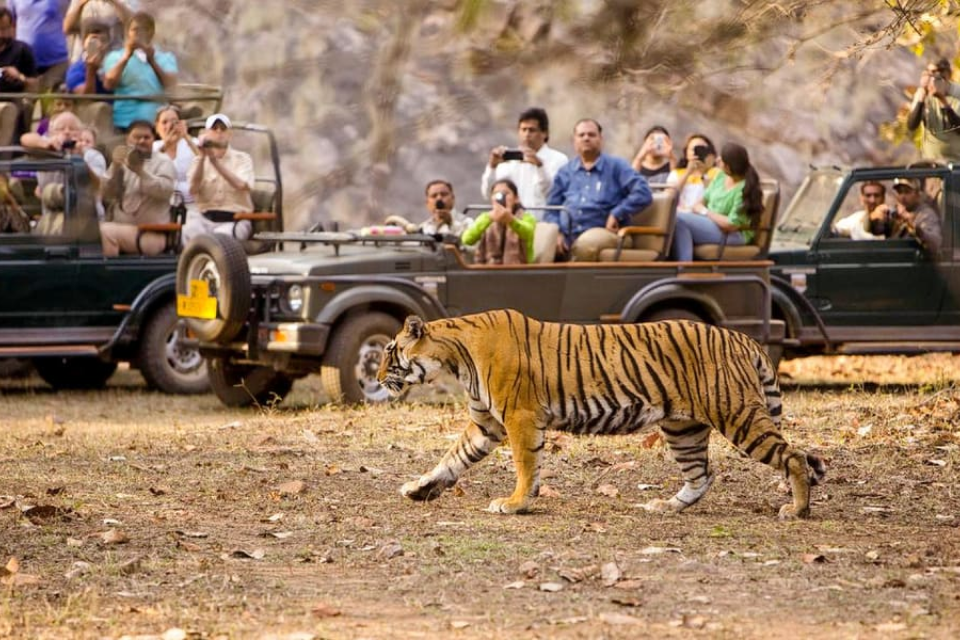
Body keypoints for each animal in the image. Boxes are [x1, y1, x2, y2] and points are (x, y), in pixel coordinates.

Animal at [377, 309, 825, 519]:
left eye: (390, 352)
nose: (378, 377)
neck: (454, 357)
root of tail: (742, 337)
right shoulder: (486, 424)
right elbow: (451, 459)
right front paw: (419, 488)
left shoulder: (519, 417)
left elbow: (525, 465)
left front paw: (515, 503)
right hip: (684, 427)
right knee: (702, 474)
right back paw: (666, 506)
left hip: (737, 414)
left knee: (793, 456)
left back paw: (797, 510)